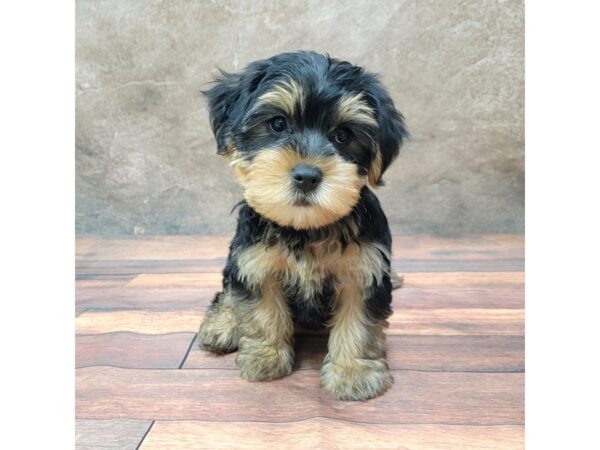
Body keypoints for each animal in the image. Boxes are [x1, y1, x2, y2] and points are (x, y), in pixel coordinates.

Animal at [197, 51, 408, 400]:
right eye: (278, 124)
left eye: (343, 135)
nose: (307, 175)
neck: (306, 228)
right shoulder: (255, 262)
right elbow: (261, 311)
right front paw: (266, 357)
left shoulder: (364, 269)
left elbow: (358, 322)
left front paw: (353, 372)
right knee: (227, 289)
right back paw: (222, 325)